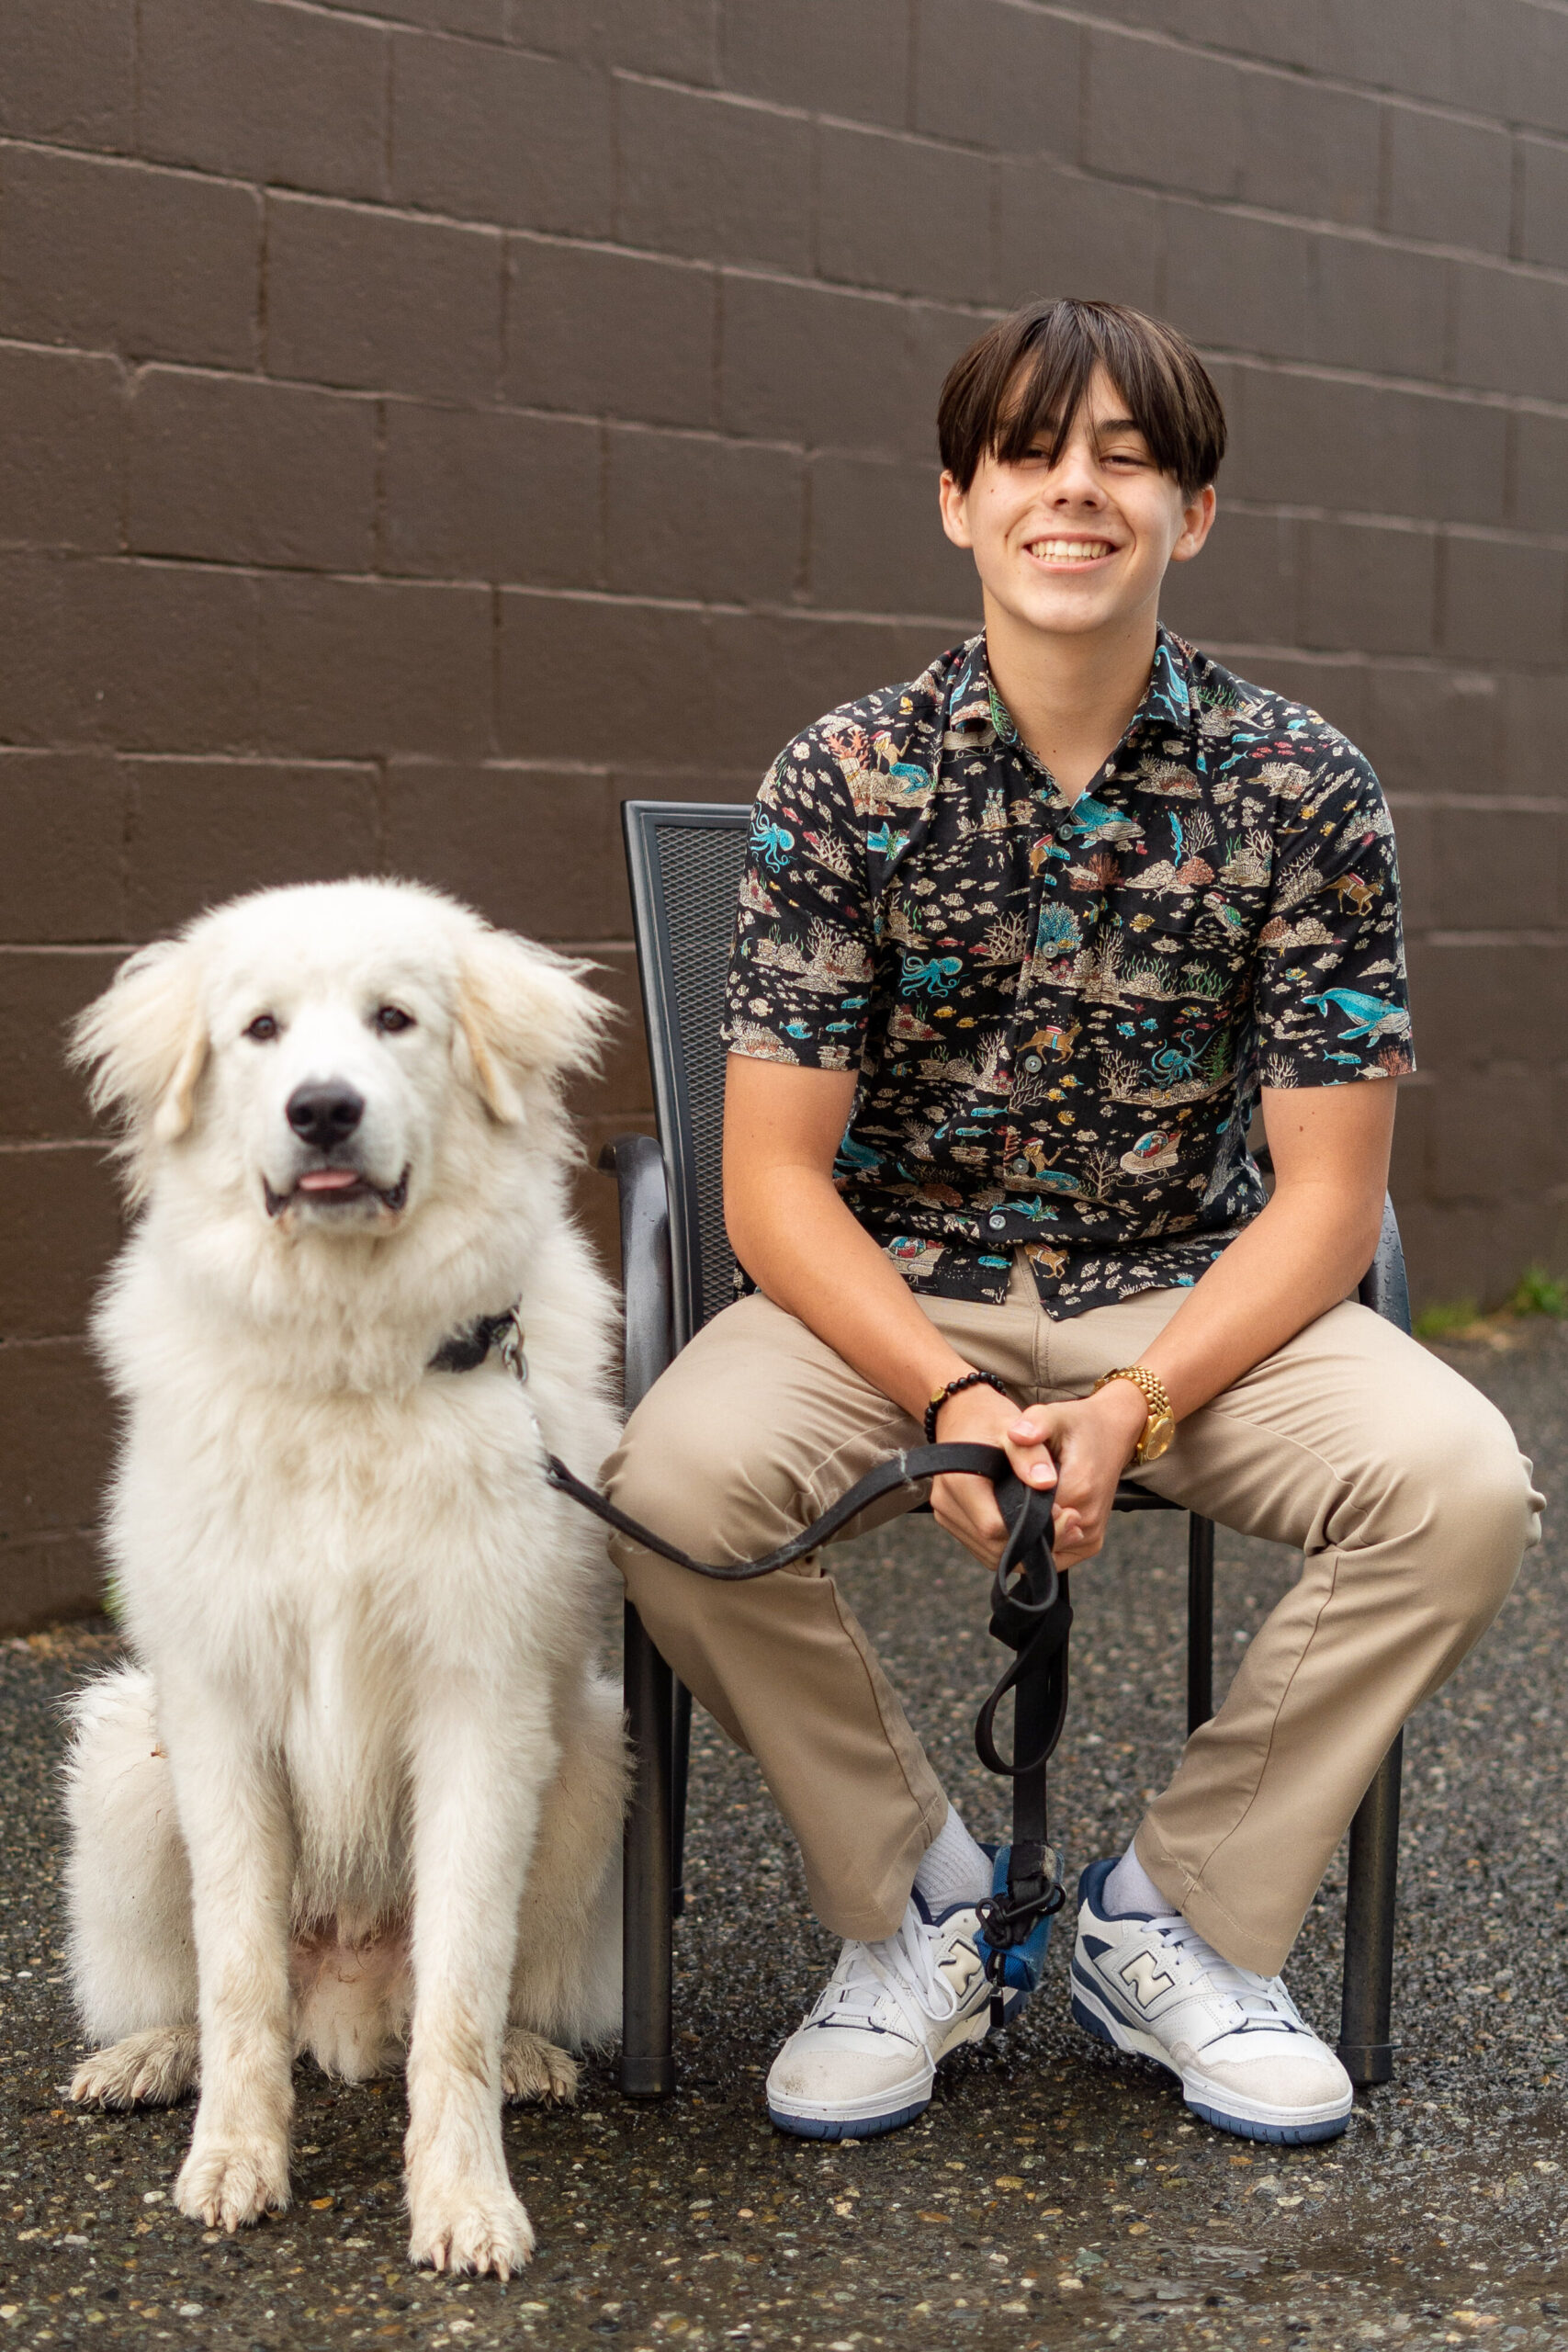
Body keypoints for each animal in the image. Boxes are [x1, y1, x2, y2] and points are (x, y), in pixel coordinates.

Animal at [62, 884, 625, 2277]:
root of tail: (347, 2002)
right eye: (261, 1030)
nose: (323, 1109)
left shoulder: (483, 1712)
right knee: (198, 1990)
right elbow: (236, 1974)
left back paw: (529, 2057)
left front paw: (465, 2201)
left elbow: (463, 1993)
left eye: (394, 1020)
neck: (348, 1362)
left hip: (593, 1760)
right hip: (119, 1763)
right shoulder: (214, 1709)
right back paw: (148, 2056)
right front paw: (233, 2163)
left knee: (471, 2000)